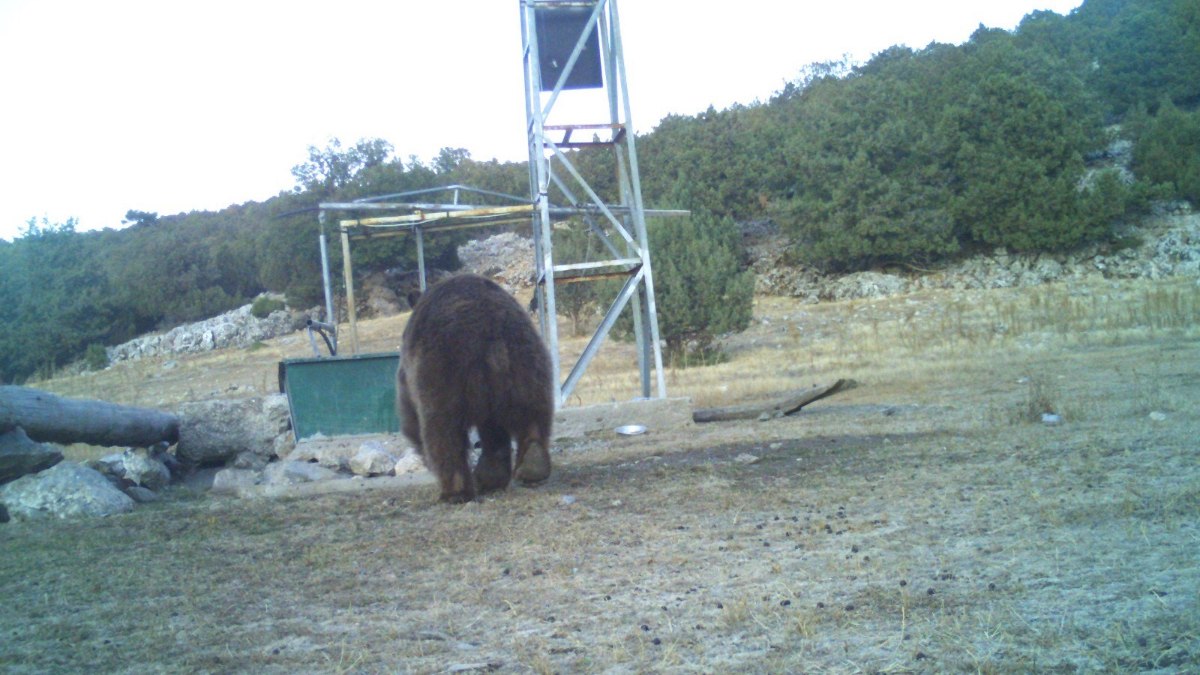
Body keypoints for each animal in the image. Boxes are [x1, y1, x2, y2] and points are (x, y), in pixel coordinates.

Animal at [398, 271, 556, 499]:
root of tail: (489, 332)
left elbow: (411, 416)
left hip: (442, 371)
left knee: (442, 429)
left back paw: (454, 490)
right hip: (526, 362)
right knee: (530, 414)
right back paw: (530, 466)